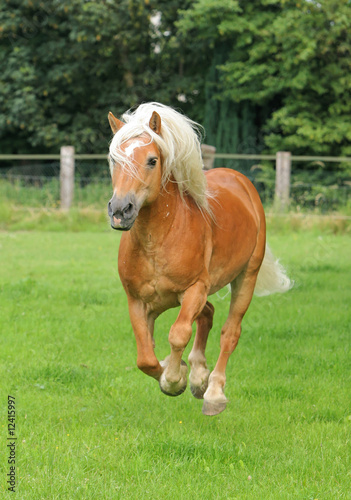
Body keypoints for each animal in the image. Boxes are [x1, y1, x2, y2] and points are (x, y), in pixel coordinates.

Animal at [106, 101, 292, 414]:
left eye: (152, 160)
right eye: (114, 160)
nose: (121, 210)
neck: (158, 241)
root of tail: (240, 180)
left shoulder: (194, 290)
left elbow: (178, 334)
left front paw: (174, 380)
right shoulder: (138, 301)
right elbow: (145, 357)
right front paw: (179, 373)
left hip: (245, 278)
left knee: (229, 332)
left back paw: (213, 392)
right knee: (208, 315)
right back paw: (198, 376)